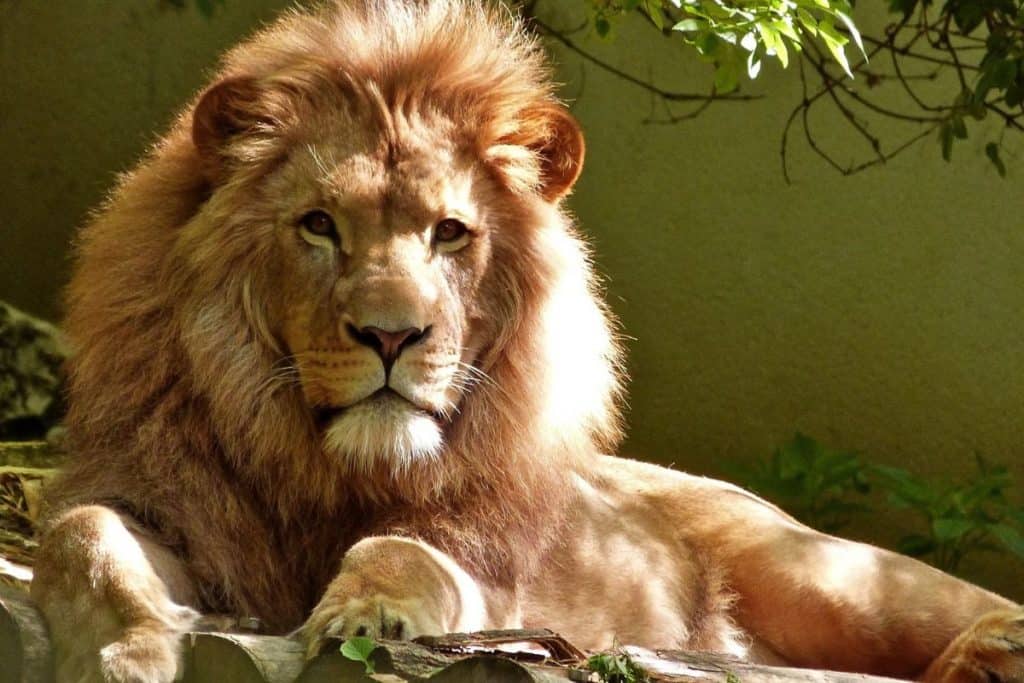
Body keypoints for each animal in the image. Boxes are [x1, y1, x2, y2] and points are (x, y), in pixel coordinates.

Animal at [31, 1, 1022, 682]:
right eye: (319, 225)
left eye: (449, 233)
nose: (392, 334)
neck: (326, 470)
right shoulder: (165, 503)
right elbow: (81, 537)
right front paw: (127, 654)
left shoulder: (486, 572)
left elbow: (402, 553)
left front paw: (368, 616)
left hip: (829, 574)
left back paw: (993, 647)